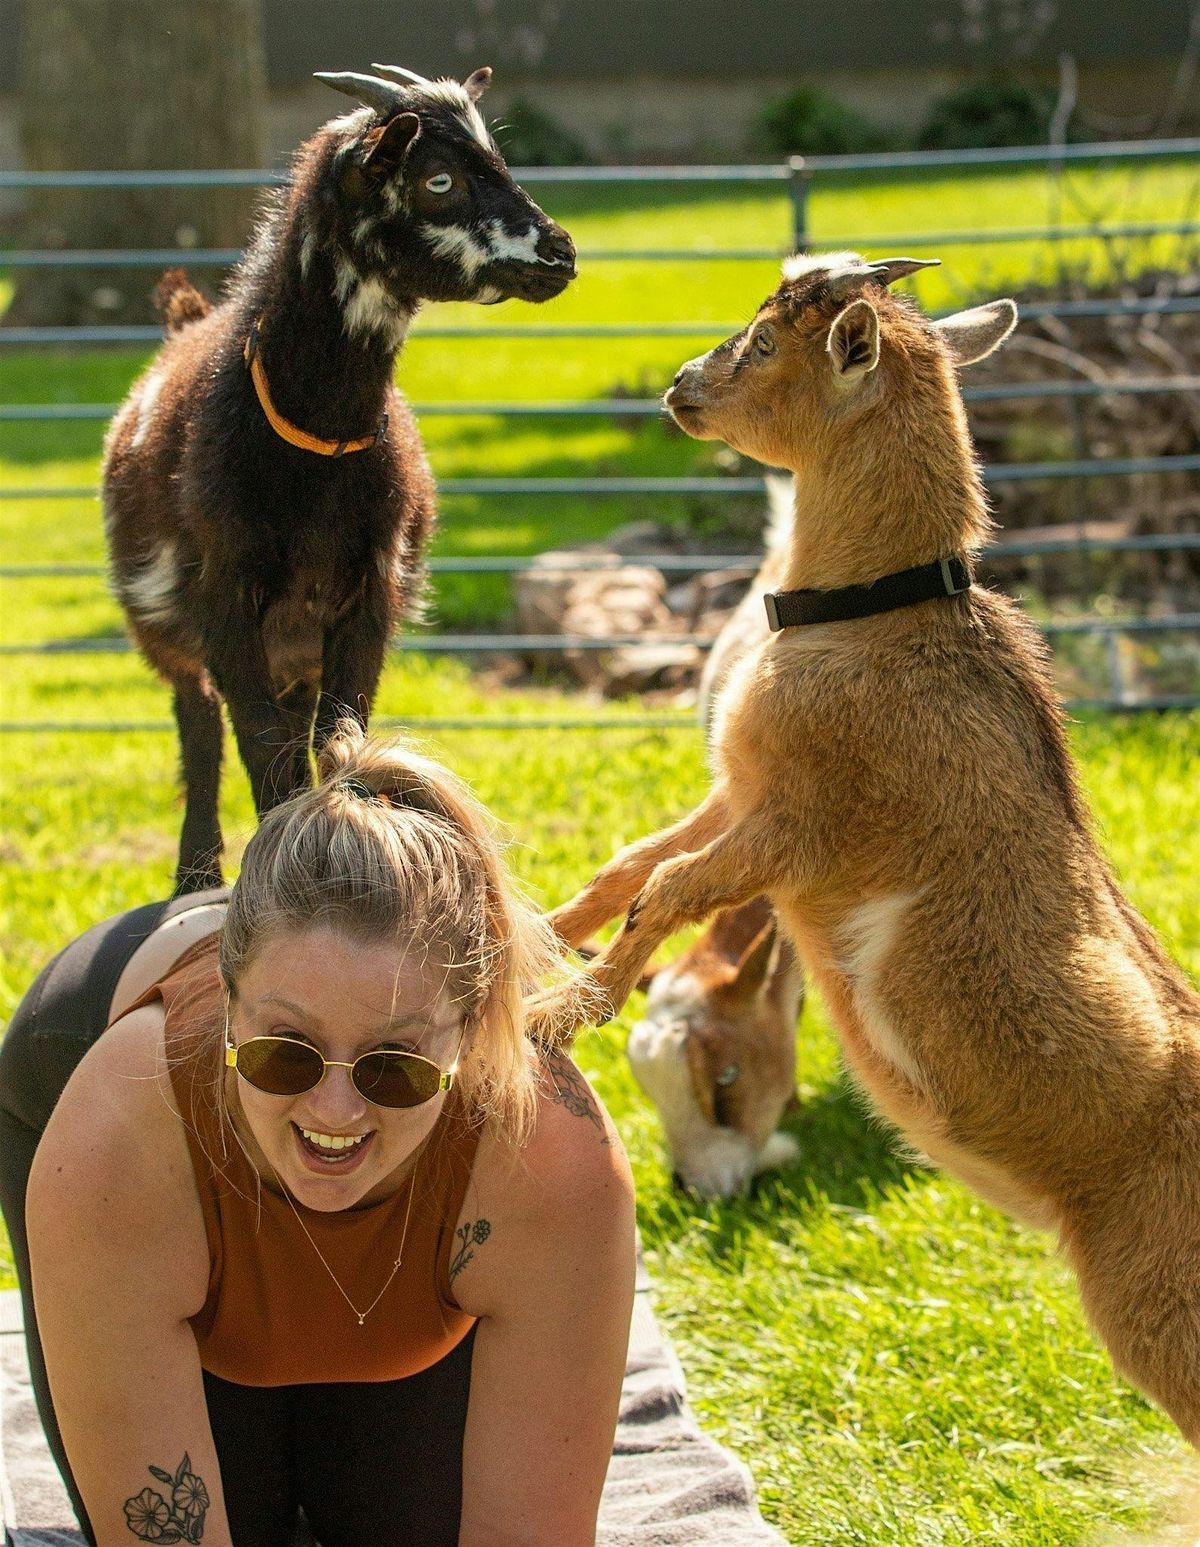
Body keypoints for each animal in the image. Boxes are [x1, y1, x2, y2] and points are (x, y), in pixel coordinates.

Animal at [100, 63, 578, 897]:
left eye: (498, 156)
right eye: (438, 178)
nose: (561, 251)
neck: (311, 452)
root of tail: (184, 321)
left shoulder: (370, 584)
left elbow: (338, 734)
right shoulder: (225, 589)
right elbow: (258, 741)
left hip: (294, 642)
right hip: (165, 626)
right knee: (199, 723)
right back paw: (195, 874)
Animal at [528, 253, 1200, 1447]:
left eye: (761, 344)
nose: (678, 386)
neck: (873, 613)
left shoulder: (802, 827)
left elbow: (670, 887)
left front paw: (555, 1010)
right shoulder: (741, 787)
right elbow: (633, 862)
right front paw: (535, 931)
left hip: (1162, 1311)